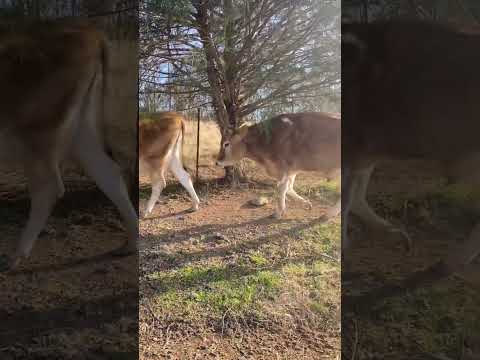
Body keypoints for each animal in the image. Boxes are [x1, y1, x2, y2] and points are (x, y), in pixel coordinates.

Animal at [0, 19, 138, 270]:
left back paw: (16, 256)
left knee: (48, 188)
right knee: (109, 173)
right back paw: (130, 243)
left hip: (38, 130)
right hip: (82, 131)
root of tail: (90, 32)